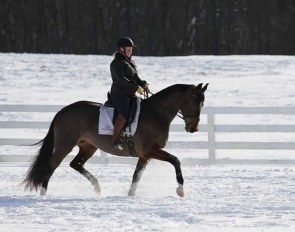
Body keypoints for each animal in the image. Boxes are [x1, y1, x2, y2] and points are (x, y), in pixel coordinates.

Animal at [23, 82, 208, 197]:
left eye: (203, 103)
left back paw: (97, 188)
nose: (193, 128)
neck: (156, 114)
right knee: (50, 167)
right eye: (193, 100)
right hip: (65, 145)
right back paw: (43, 195)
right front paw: (180, 190)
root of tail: (62, 111)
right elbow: (175, 160)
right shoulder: (150, 150)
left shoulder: (145, 155)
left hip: (88, 146)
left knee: (76, 164)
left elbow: (136, 176)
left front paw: (130, 196)